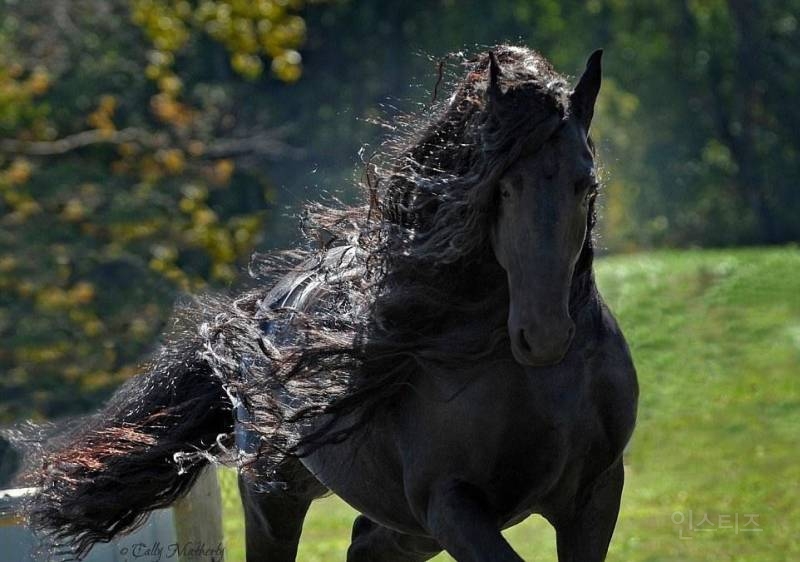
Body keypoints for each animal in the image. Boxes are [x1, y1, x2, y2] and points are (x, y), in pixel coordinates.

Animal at [10, 46, 636, 556]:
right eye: (503, 187)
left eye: (585, 184)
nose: (544, 334)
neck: (539, 385)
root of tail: (261, 311)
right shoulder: (452, 505)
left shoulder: (594, 499)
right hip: (278, 497)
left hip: (404, 528)